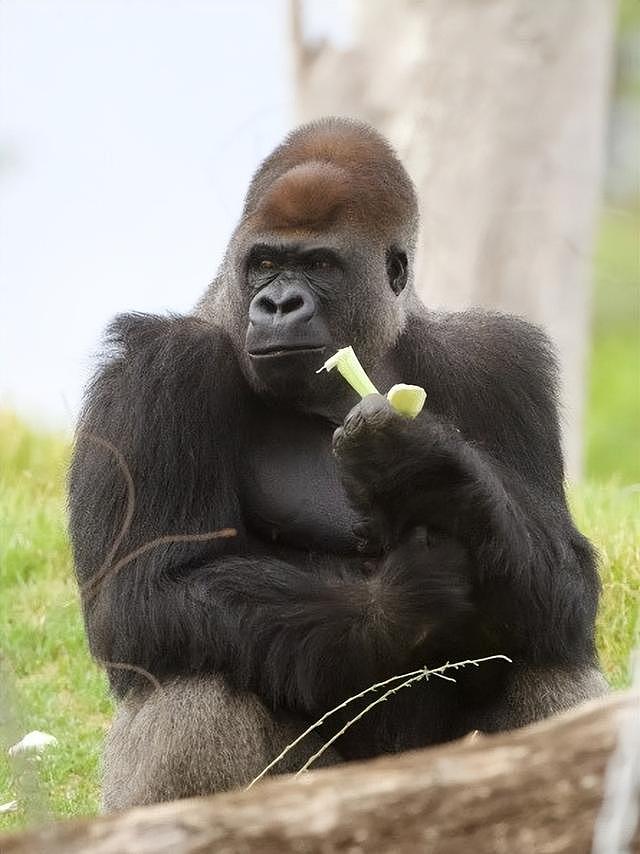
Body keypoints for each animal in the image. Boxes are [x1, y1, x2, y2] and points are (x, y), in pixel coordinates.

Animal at [67, 118, 608, 808]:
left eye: (319, 264)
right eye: (266, 263)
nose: (277, 305)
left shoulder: (500, 363)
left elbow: (565, 579)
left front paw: (430, 470)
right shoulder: (154, 369)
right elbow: (144, 590)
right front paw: (396, 606)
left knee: (545, 643)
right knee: (195, 691)